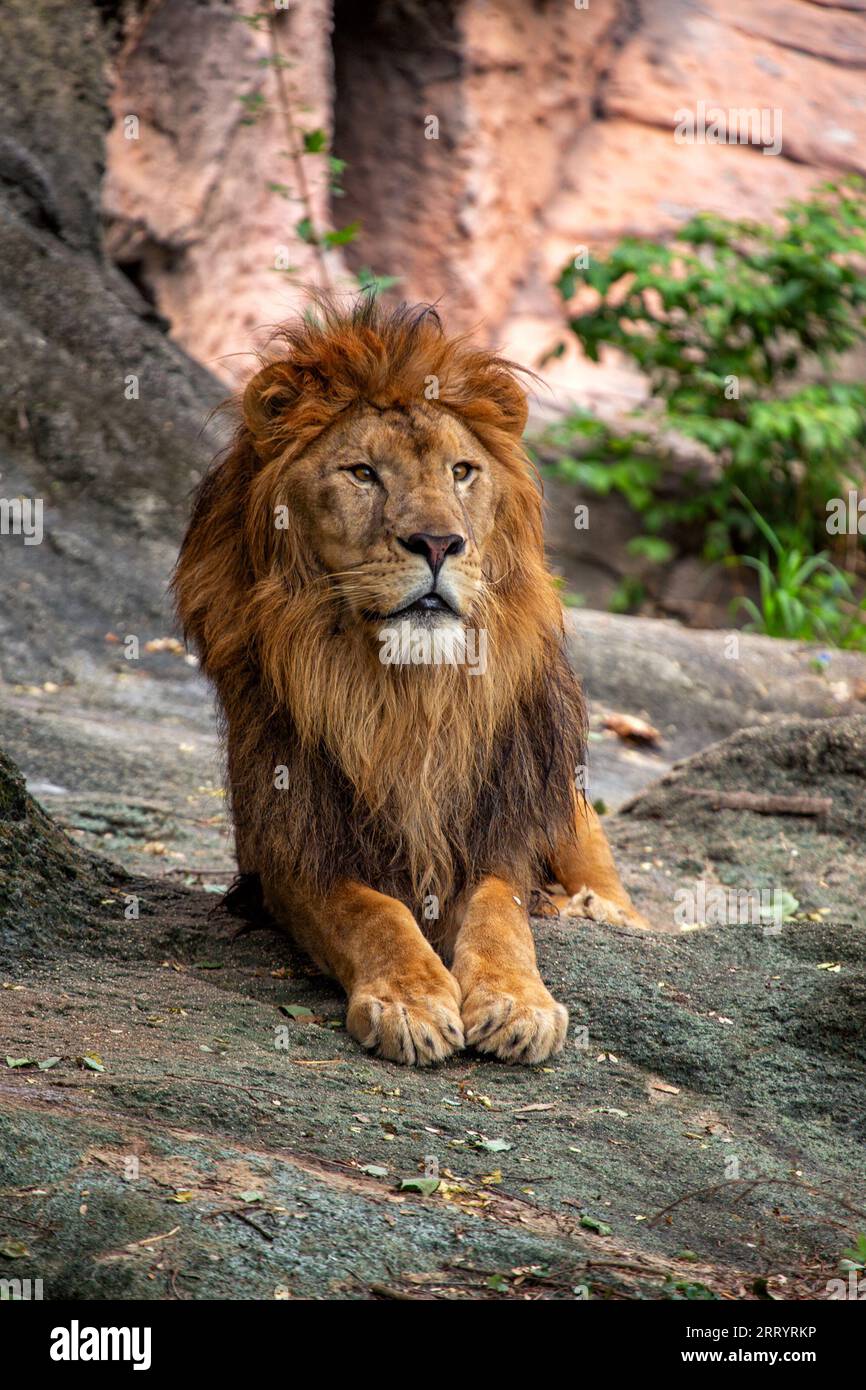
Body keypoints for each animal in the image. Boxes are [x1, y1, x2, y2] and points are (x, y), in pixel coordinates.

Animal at [176, 298, 647, 1067]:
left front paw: (518, 1003)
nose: (438, 543)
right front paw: (410, 1000)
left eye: (462, 471)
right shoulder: (290, 846)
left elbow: (499, 914)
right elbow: (370, 911)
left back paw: (595, 909)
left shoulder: (489, 831)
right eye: (363, 473)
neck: (404, 692)